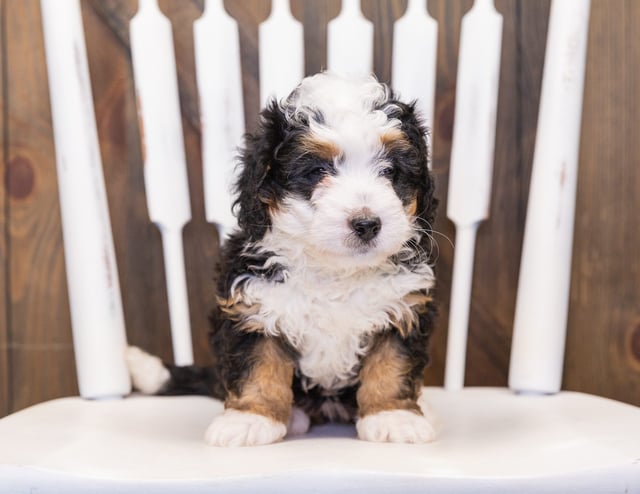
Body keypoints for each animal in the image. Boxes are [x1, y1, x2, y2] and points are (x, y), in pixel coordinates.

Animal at [129, 72, 440, 448]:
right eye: (317, 170)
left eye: (391, 171)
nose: (367, 223)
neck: (335, 270)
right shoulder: (252, 305)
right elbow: (257, 365)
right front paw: (250, 418)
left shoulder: (403, 307)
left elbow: (393, 364)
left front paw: (393, 416)